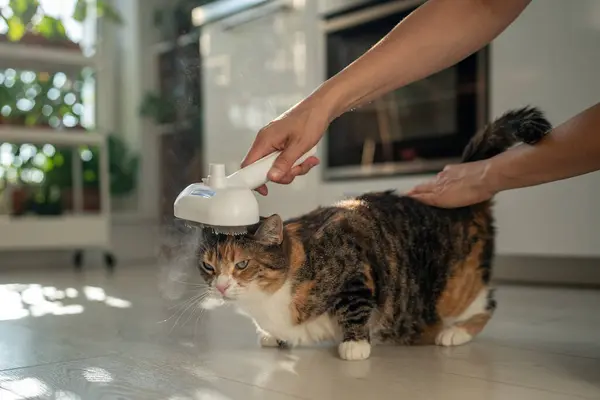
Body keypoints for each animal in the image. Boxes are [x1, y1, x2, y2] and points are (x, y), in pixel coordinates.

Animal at [197, 108, 552, 360]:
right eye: (208, 266)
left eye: (242, 264)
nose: (221, 286)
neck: (265, 301)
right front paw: (274, 336)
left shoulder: (355, 266)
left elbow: (355, 307)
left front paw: (354, 345)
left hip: (457, 288)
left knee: (488, 303)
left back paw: (454, 333)